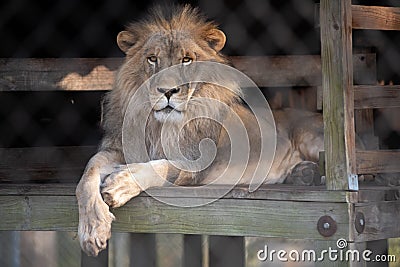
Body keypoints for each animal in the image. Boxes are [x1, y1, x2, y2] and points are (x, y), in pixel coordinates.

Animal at [76, 5, 324, 258]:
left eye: (186, 60)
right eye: (152, 59)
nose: (167, 91)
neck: (160, 125)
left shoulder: (197, 163)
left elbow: (161, 167)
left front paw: (120, 184)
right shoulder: (118, 149)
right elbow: (88, 173)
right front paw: (92, 229)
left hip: (309, 138)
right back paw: (303, 174)